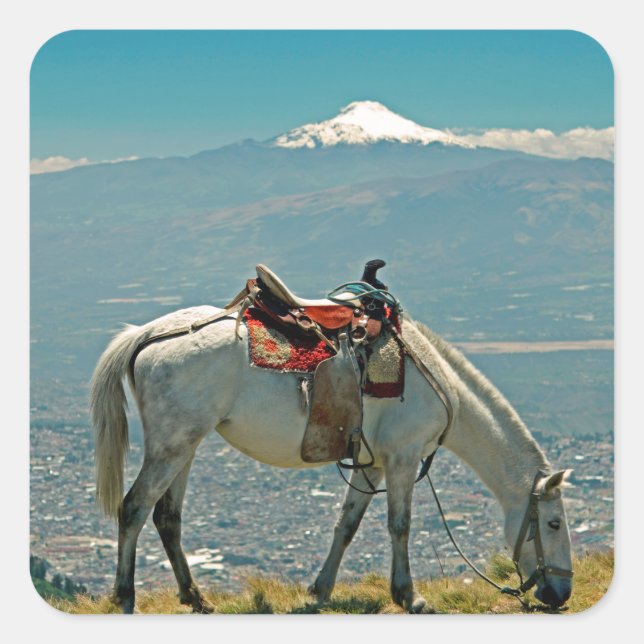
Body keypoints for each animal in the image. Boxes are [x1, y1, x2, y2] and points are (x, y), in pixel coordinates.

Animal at [90, 304, 574, 614]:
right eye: (553, 524)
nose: (562, 593)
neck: (437, 381)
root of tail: (147, 335)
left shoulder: (371, 464)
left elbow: (347, 525)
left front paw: (321, 589)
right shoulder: (403, 458)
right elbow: (400, 525)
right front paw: (410, 597)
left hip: (184, 446)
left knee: (167, 518)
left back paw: (196, 598)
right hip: (171, 446)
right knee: (134, 508)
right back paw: (126, 597)